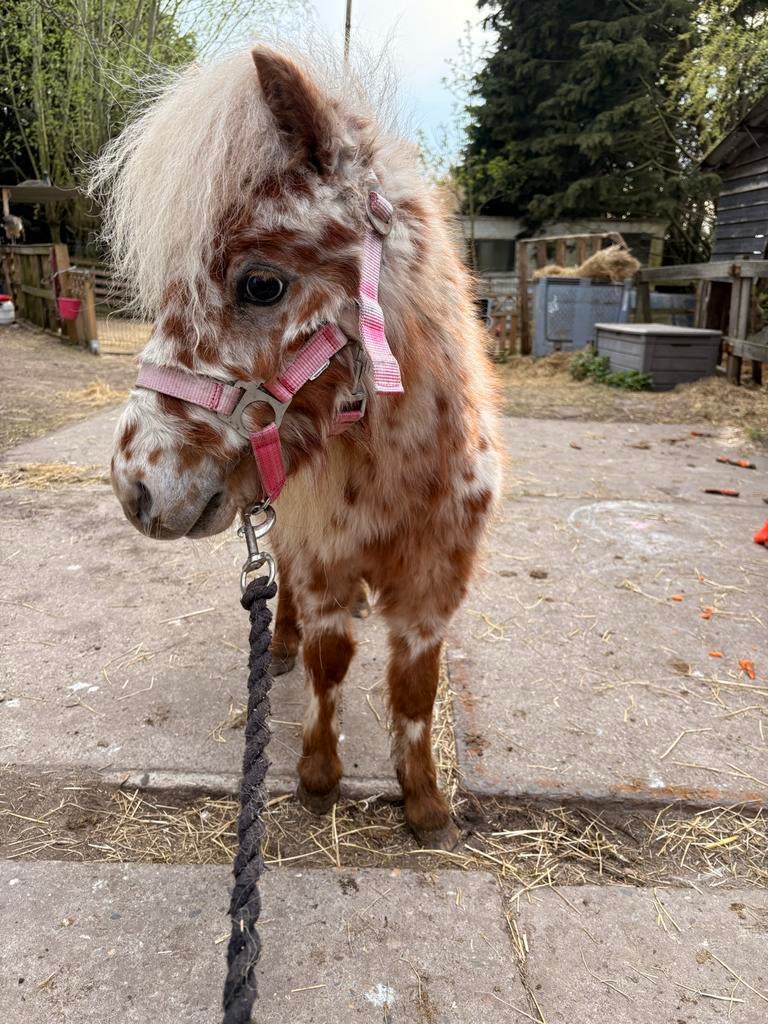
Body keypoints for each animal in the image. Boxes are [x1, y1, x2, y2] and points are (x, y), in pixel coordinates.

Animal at [94, 46, 501, 851]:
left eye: (261, 284)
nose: (136, 489)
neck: (398, 478)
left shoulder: (433, 587)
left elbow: (415, 690)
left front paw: (425, 805)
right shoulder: (325, 566)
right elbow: (329, 663)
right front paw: (318, 778)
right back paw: (276, 649)